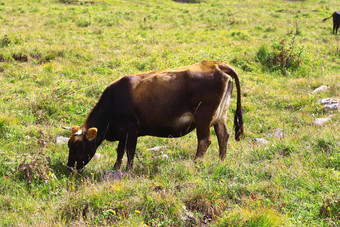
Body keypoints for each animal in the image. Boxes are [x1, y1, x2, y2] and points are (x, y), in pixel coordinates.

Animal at [64, 60, 244, 172]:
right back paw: (221, 161)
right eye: (68, 144)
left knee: (205, 140)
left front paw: (127, 170)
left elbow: (129, 151)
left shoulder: (132, 129)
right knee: (223, 135)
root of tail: (215, 64)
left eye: (78, 145)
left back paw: (196, 163)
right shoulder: (123, 132)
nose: (69, 167)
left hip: (203, 117)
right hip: (221, 115)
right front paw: (115, 168)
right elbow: (120, 151)